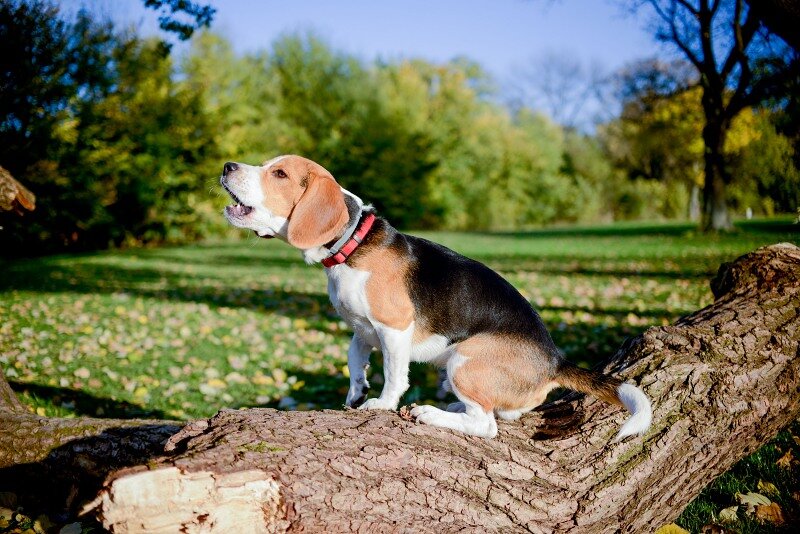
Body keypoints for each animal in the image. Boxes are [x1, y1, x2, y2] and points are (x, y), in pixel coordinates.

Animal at [219, 155, 648, 440]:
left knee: (486, 425)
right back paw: (453, 406)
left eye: (279, 173)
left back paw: (431, 414)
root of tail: (555, 360)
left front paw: (381, 404)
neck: (352, 243)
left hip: (463, 359)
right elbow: (354, 360)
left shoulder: (393, 328)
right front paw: (356, 393)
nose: (227, 166)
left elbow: (394, 375)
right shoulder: (361, 329)